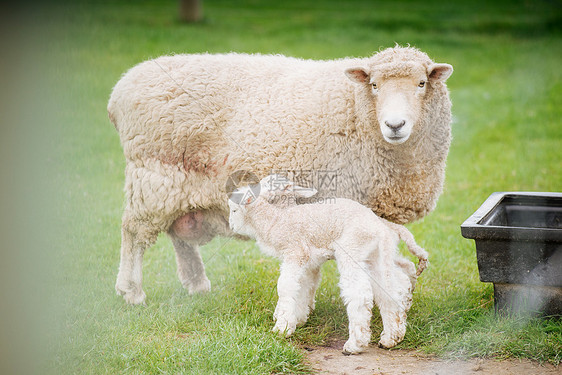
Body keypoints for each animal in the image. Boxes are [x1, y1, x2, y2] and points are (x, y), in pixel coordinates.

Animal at [108, 46, 450, 306]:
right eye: (375, 85)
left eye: (421, 83)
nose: (395, 125)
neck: (355, 108)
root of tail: (121, 88)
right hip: (155, 174)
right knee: (134, 232)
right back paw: (132, 290)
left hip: (180, 181)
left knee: (178, 231)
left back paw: (196, 283)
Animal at [225, 176, 426, 356]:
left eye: (233, 210)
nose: (231, 227)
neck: (276, 219)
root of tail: (380, 229)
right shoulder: (308, 261)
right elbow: (304, 287)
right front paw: (298, 319)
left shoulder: (295, 251)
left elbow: (285, 286)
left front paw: (282, 328)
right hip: (375, 257)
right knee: (390, 290)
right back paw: (391, 337)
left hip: (351, 250)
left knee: (360, 294)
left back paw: (355, 344)